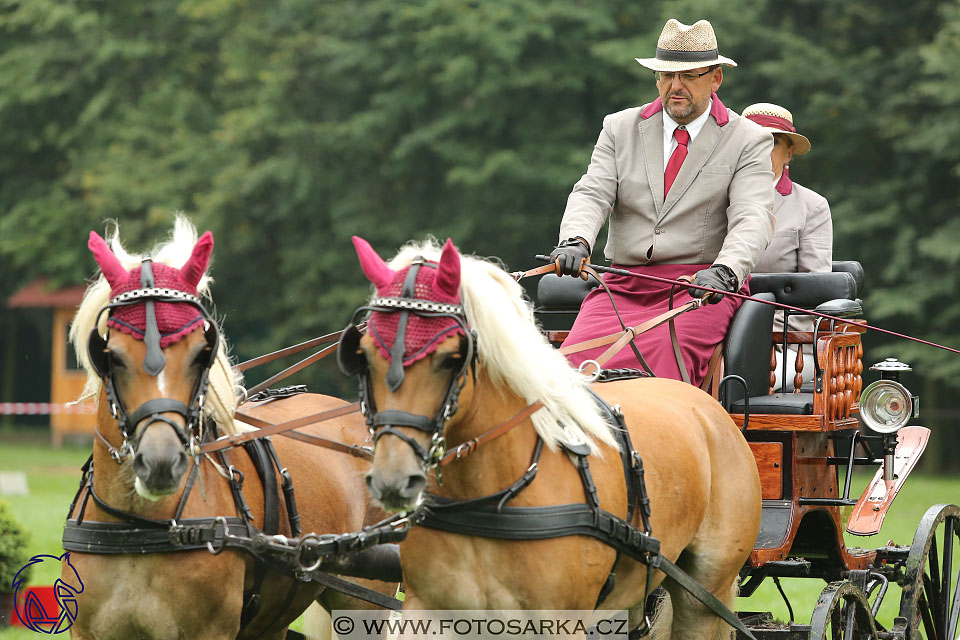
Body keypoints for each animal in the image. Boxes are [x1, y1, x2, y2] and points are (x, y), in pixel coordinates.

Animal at [63, 218, 394, 636]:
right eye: (113, 356)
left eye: (200, 353)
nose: (160, 463)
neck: (137, 530)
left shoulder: (211, 631)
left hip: (365, 602)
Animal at [342, 238, 760, 636]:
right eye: (364, 355)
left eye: (450, 359)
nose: (393, 479)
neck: (491, 493)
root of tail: (707, 405)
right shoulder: (431, 611)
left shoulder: (560, 620)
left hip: (704, 593)